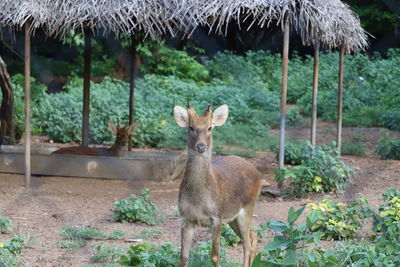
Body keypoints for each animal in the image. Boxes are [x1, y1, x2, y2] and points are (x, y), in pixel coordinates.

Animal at [173, 101, 260, 266]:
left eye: (209, 128)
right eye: (191, 127)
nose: (201, 146)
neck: (198, 200)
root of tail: (257, 172)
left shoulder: (217, 216)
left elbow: (214, 255)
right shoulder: (186, 218)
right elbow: (183, 257)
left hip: (248, 207)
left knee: (247, 242)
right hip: (233, 217)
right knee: (254, 235)